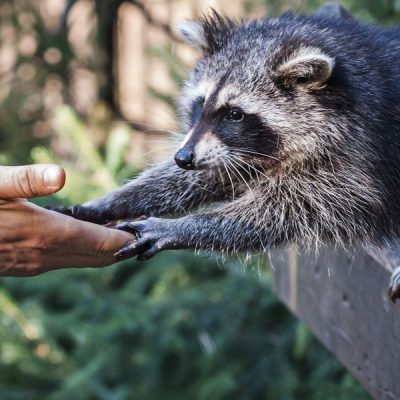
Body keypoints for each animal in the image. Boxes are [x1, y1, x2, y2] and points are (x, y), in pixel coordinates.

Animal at [49, 3, 400, 268]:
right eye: (200, 103)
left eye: (235, 114)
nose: (183, 158)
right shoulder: (230, 149)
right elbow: (208, 174)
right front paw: (110, 201)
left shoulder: (354, 157)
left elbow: (290, 209)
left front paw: (184, 227)